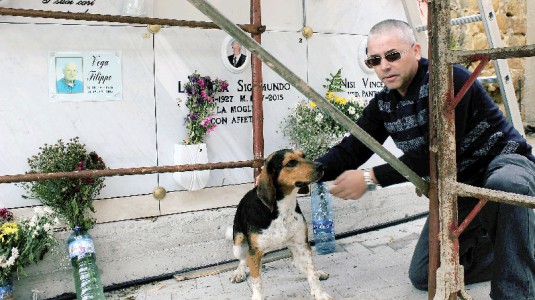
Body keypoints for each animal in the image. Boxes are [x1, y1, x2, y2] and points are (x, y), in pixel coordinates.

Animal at [226, 150, 336, 300]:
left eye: (303, 155)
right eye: (291, 162)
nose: (321, 166)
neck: (284, 206)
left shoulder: (303, 244)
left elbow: (311, 272)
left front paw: (319, 293)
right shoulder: (255, 252)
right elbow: (257, 282)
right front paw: (257, 296)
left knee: (296, 263)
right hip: (237, 245)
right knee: (243, 259)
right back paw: (239, 273)